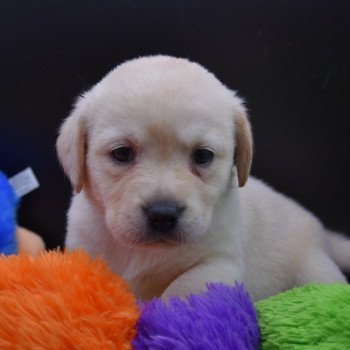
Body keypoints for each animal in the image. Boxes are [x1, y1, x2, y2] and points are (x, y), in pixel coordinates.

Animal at [56, 55, 348, 300]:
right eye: (121, 153)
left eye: (202, 156)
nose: (163, 214)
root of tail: (322, 234)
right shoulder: (84, 249)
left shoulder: (220, 262)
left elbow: (180, 290)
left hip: (314, 269)